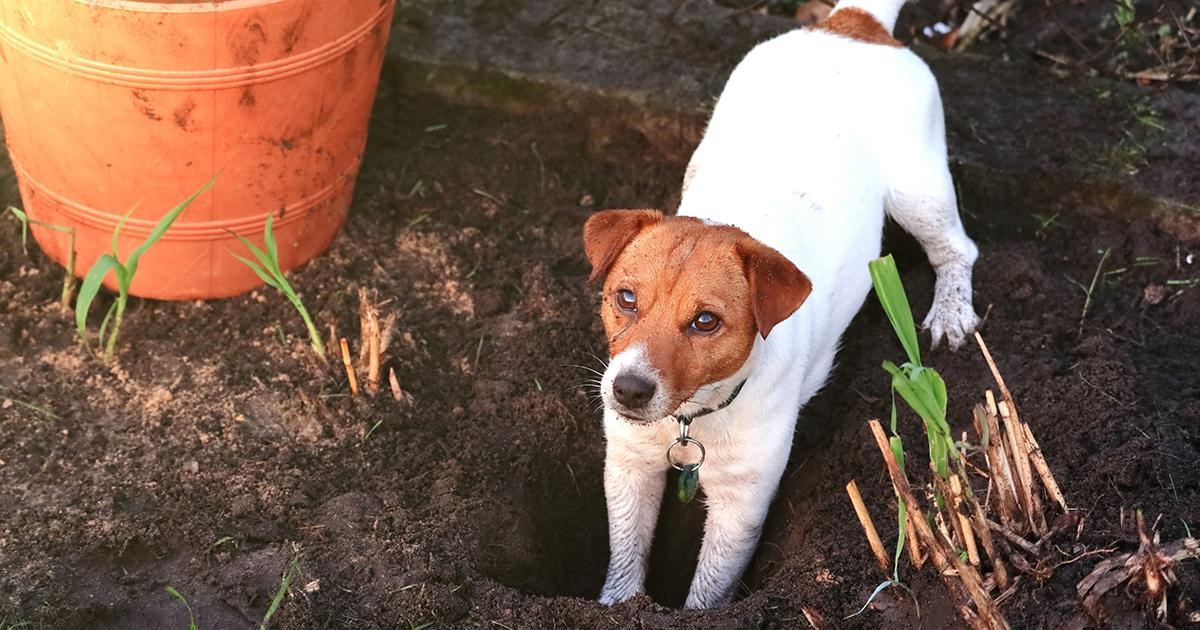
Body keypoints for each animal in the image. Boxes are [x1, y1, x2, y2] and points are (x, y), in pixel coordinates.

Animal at [583, 0, 984, 609]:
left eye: (706, 322)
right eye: (625, 299)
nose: (627, 390)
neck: (691, 420)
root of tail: (853, 23)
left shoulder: (742, 505)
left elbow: (711, 588)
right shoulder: (628, 466)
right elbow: (625, 555)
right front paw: (619, 606)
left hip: (920, 190)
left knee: (958, 249)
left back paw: (951, 311)